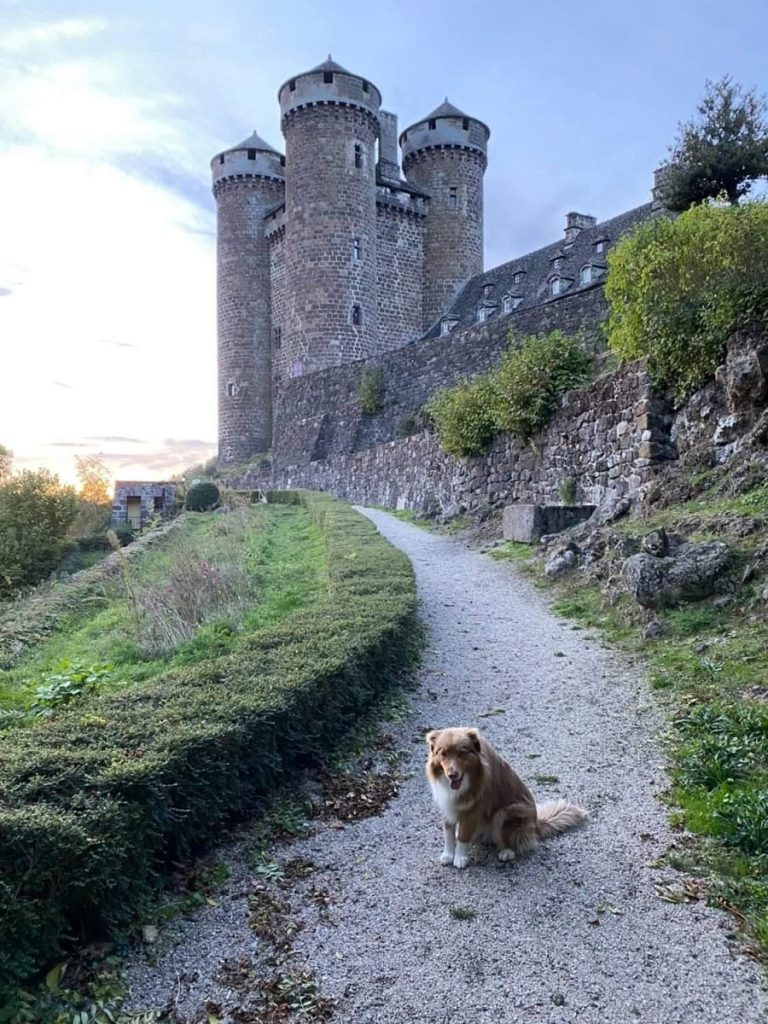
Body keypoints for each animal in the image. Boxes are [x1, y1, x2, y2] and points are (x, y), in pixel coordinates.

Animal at [428, 724, 589, 868]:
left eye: (462, 753)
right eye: (443, 753)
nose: (452, 775)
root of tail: (536, 824)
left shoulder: (473, 810)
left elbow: (463, 836)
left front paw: (460, 858)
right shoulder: (446, 804)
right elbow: (448, 833)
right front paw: (448, 855)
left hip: (506, 812)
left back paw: (506, 852)